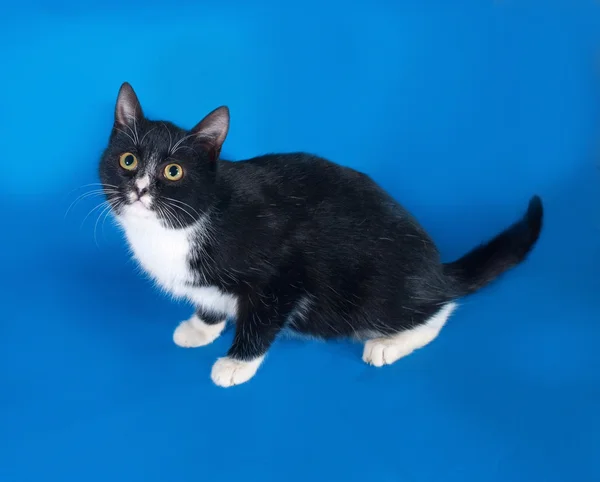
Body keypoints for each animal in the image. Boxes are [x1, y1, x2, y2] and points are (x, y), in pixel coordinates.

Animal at [99, 83, 544, 388]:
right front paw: (201, 326)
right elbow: (210, 300)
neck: (180, 226)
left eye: (173, 171)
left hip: (371, 292)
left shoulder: (282, 271)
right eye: (129, 160)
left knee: (440, 306)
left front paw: (237, 363)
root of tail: (435, 268)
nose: (140, 189)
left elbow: (262, 317)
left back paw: (390, 342)